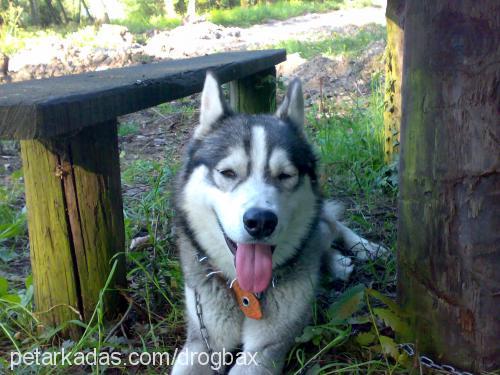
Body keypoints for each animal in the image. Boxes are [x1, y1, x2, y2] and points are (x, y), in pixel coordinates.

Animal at [173, 72, 386, 374]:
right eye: (228, 173)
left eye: (285, 175)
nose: (260, 221)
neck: (245, 293)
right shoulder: (202, 340)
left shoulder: (265, 349)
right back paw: (336, 260)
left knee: (328, 225)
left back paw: (363, 248)